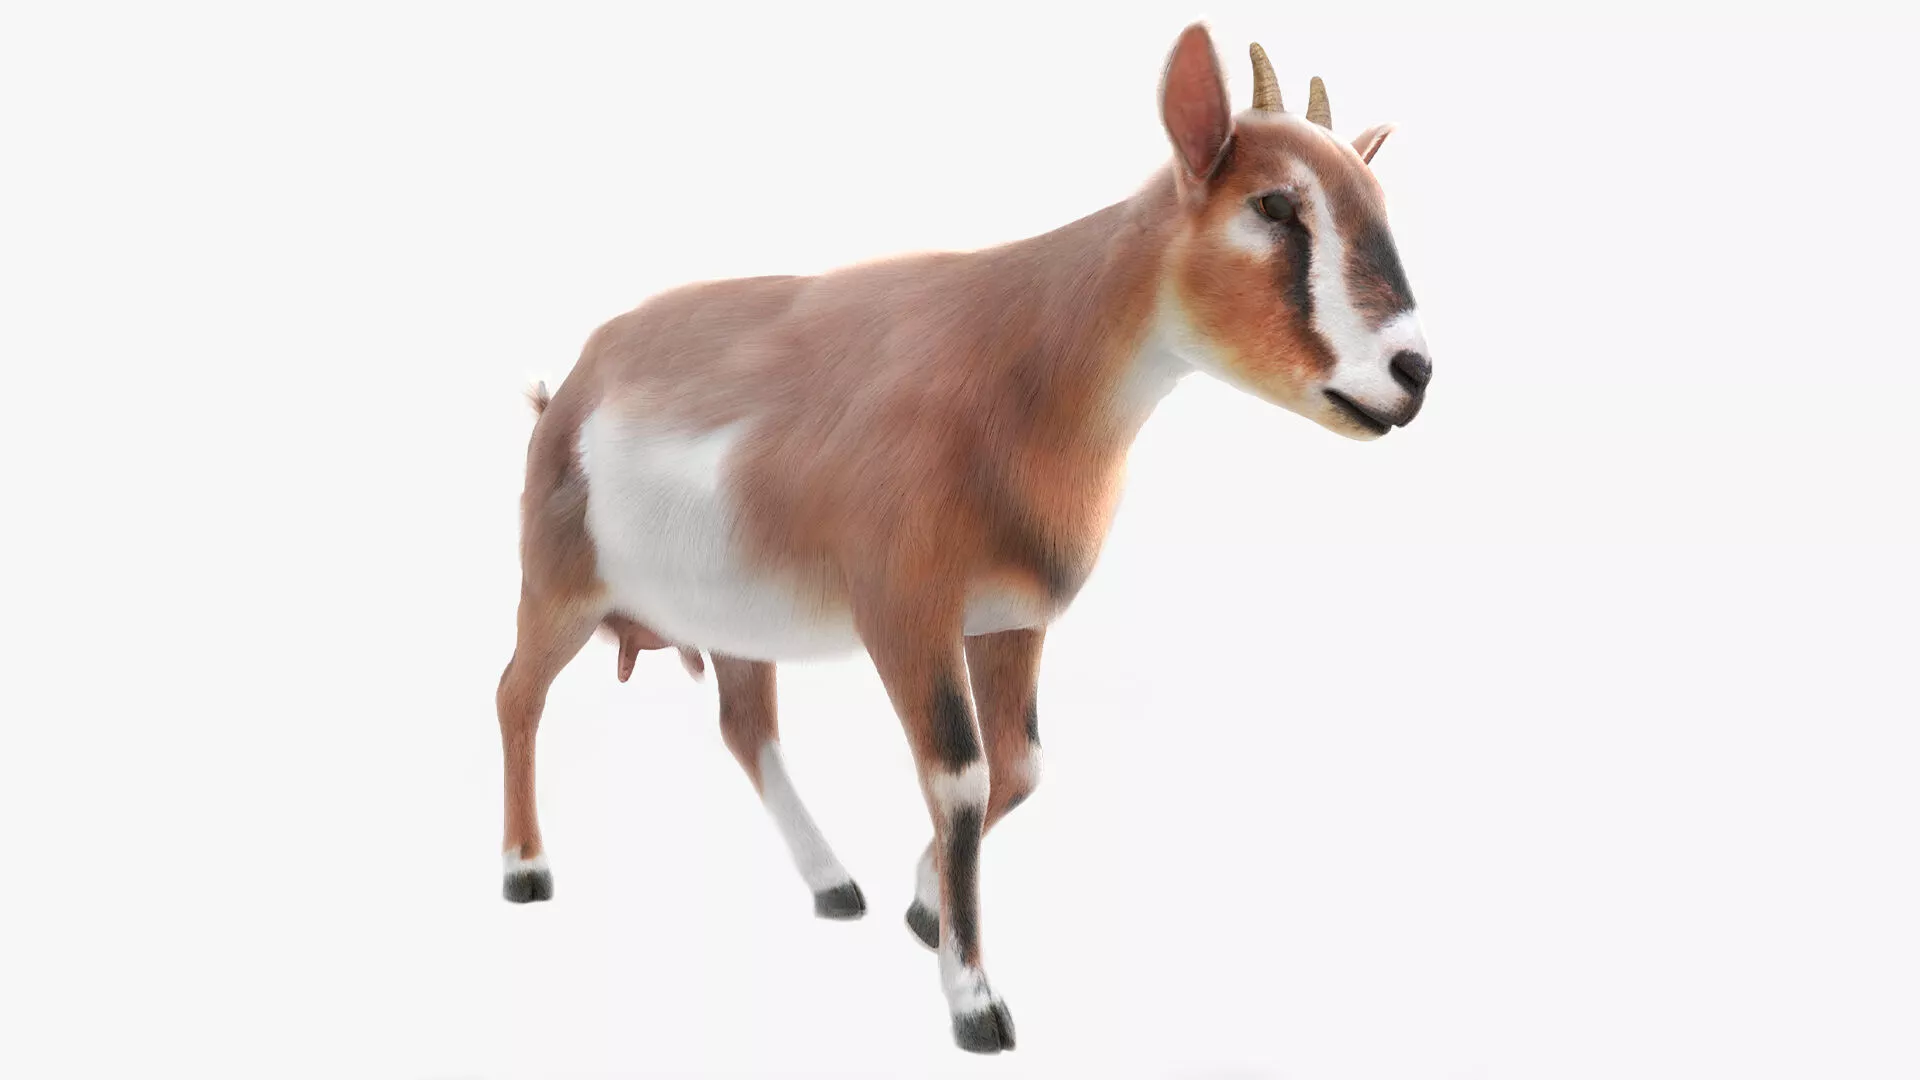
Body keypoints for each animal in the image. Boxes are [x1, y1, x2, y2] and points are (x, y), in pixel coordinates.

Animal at [496, 23, 1432, 1053]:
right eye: (1274, 203)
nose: (1411, 373)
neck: (1019, 360)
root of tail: (571, 387)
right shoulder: (908, 618)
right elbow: (960, 778)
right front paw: (976, 1002)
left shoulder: (1008, 623)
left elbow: (1017, 768)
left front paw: (920, 909)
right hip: (558, 590)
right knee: (517, 695)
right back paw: (525, 871)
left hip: (735, 623)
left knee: (745, 727)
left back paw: (835, 884)